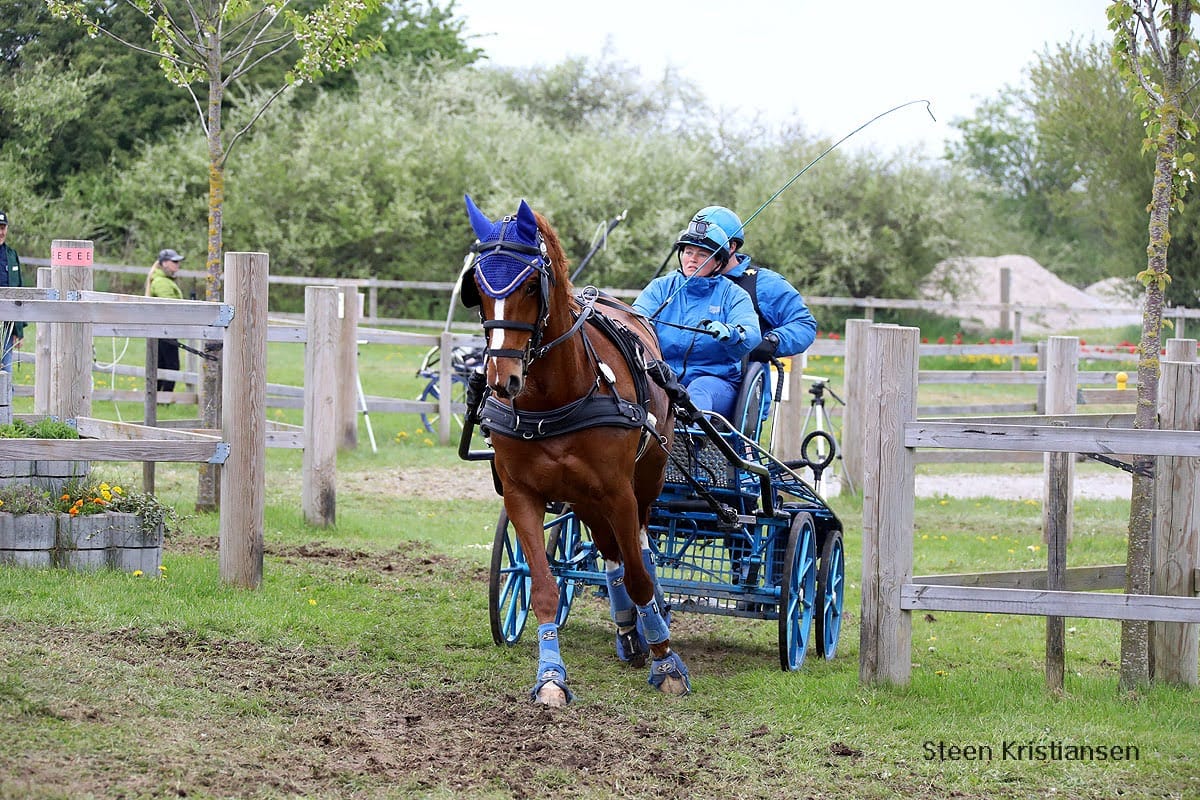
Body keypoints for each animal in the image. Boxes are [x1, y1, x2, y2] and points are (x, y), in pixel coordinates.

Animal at [458, 195, 686, 705]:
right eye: (477, 288)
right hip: (584, 498)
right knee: (611, 554)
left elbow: (640, 574)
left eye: (529, 286)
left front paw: (666, 663)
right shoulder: (522, 494)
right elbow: (544, 586)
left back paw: (653, 627)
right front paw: (550, 678)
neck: (554, 398)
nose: (502, 380)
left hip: (644, 481)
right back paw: (628, 632)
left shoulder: (619, 492)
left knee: (641, 552)